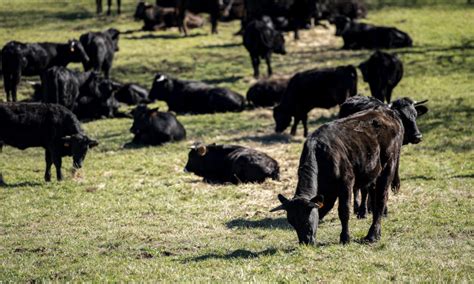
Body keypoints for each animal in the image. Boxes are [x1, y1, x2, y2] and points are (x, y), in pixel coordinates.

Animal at [270, 97, 430, 244]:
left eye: (306, 218)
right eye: (292, 221)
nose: (305, 241)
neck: (321, 153)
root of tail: (388, 112)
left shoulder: (346, 182)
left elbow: (344, 210)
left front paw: (345, 238)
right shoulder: (328, 191)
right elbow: (324, 208)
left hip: (388, 167)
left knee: (381, 199)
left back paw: (372, 234)